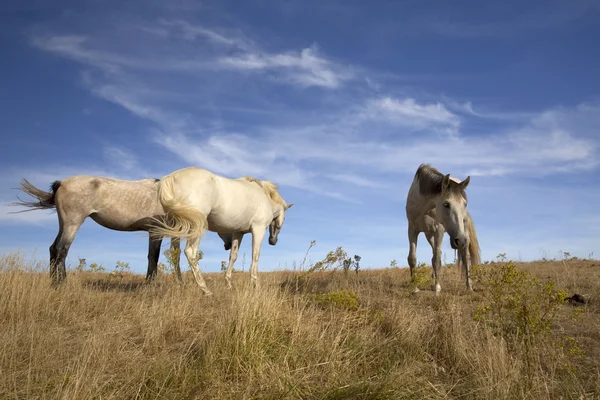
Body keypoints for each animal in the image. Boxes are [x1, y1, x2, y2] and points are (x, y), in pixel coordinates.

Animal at [11, 176, 232, 284]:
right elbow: (153, 257)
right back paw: (61, 284)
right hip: (73, 222)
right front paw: (150, 284)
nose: (229, 245)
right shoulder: (156, 231)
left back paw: (53, 282)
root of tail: (62, 182)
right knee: (61, 250)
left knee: (53, 248)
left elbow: (171, 257)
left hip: (64, 222)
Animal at [148, 167, 292, 296]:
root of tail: (170, 177)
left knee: (175, 253)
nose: (273, 241)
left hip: (178, 226)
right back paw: (205, 289)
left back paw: (181, 284)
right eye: (284, 219)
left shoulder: (238, 233)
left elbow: (233, 256)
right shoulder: (258, 230)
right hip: (196, 227)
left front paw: (228, 283)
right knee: (190, 252)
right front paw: (255, 285)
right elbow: (255, 256)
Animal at [406, 162, 480, 294]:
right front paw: (414, 287)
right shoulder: (412, 230)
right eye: (446, 204)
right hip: (429, 235)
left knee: (466, 258)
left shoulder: (439, 230)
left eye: (465, 204)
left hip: (463, 232)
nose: (460, 240)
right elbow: (412, 258)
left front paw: (437, 288)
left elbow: (437, 259)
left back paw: (469, 287)